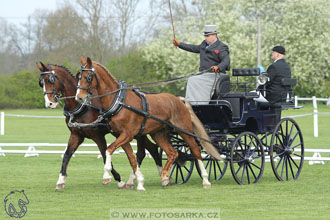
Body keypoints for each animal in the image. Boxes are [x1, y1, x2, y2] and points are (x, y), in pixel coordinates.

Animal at [37, 62, 161, 191]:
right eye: (41, 82)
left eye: (50, 80)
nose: (49, 103)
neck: (83, 106)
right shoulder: (76, 135)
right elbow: (67, 155)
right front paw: (61, 180)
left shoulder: (98, 136)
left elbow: (104, 154)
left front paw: (117, 180)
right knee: (151, 148)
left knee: (144, 151)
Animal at [76, 56, 223, 189]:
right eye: (79, 76)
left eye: (89, 76)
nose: (79, 97)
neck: (118, 101)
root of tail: (179, 100)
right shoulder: (122, 136)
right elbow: (132, 159)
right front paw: (139, 181)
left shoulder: (127, 134)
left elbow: (109, 149)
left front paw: (106, 176)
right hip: (159, 134)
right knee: (172, 153)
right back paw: (164, 177)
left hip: (184, 131)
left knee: (196, 150)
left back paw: (205, 180)